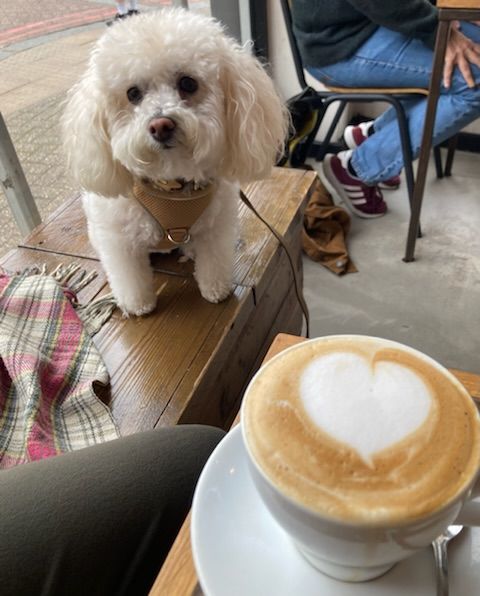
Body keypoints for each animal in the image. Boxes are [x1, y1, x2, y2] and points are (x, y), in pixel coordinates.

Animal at [63, 9, 288, 316]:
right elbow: (129, 275)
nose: (160, 125)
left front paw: (216, 290)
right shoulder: (119, 239)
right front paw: (138, 304)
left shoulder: (215, 229)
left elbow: (213, 262)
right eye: (133, 93)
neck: (171, 184)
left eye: (188, 83)